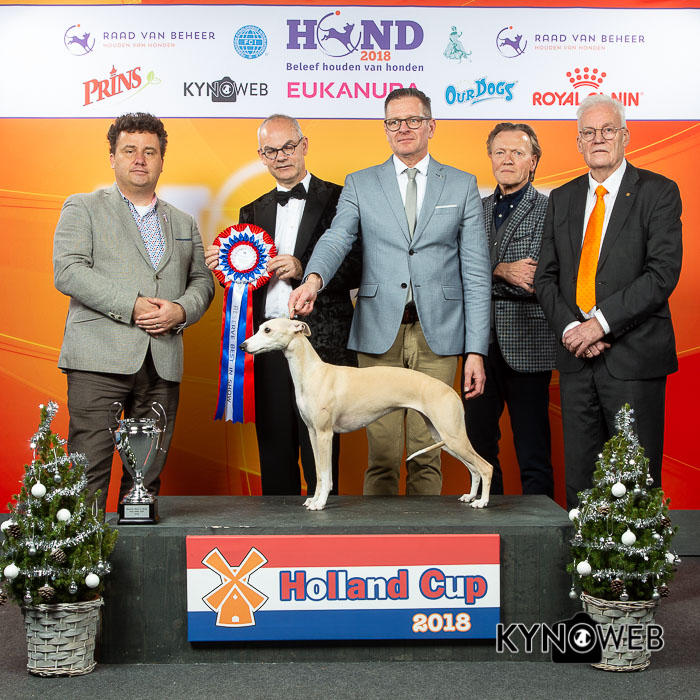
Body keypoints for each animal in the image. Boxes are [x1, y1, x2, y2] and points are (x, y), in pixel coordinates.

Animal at [240, 318, 492, 511]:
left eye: (267, 329)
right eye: (260, 327)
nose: (242, 346)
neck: (312, 373)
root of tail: (452, 392)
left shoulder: (325, 434)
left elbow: (327, 473)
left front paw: (320, 503)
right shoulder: (313, 433)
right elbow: (320, 474)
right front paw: (314, 499)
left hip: (452, 436)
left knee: (485, 467)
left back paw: (482, 502)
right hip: (444, 437)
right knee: (474, 468)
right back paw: (471, 496)